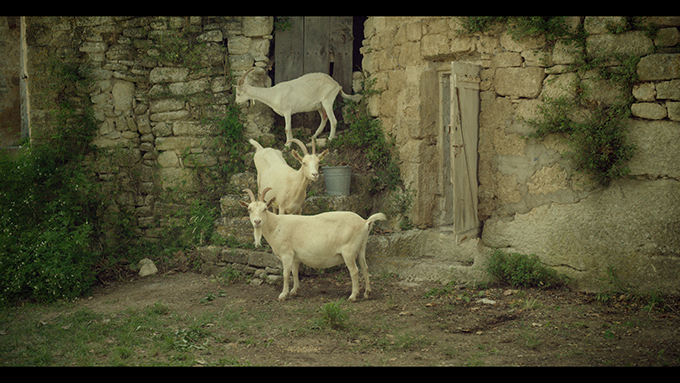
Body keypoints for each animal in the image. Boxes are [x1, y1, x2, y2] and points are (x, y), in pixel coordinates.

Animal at [234, 68, 362, 145]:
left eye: (238, 93)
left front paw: (287, 145)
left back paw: (329, 139)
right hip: (319, 105)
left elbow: (286, 128)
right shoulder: (288, 113)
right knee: (324, 118)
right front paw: (290, 143)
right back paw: (314, 136)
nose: (236, 103)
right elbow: (289, 128)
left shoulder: (287, 111)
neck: (274, 94)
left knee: (333, 120)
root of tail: (337, 85)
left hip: (328, 100)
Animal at [242, 188, 386, 304]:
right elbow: (295, 272)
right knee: (365, 268)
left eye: (265, 209)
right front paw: (294, 290)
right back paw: (367, 293)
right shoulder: (295, 256)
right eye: (249, 209)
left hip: (349, 251)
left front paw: (283, 294)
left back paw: (353, 296)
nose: (257, 221)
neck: (276, 225)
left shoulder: (286, 253)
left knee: (354, 271)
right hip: (361, 247)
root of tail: (365, 222)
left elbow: (286, 274)